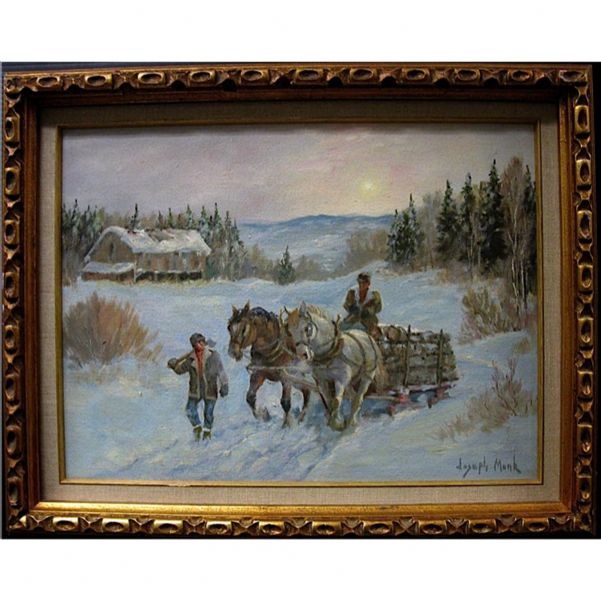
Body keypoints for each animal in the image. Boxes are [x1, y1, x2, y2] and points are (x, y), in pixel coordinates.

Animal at [282, 301, 383, 431]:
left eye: (307, 328)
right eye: (290, 332)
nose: (302, 354)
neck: (328, 354)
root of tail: (366, 335)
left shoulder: (341, 379)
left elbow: (335, 401)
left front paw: (337, 423)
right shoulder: (321, 381)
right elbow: (329, 402)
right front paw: (335, 420)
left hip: (367, 375)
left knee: (358, 398)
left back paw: (351, 422)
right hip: (351, 380)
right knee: (353, 396)